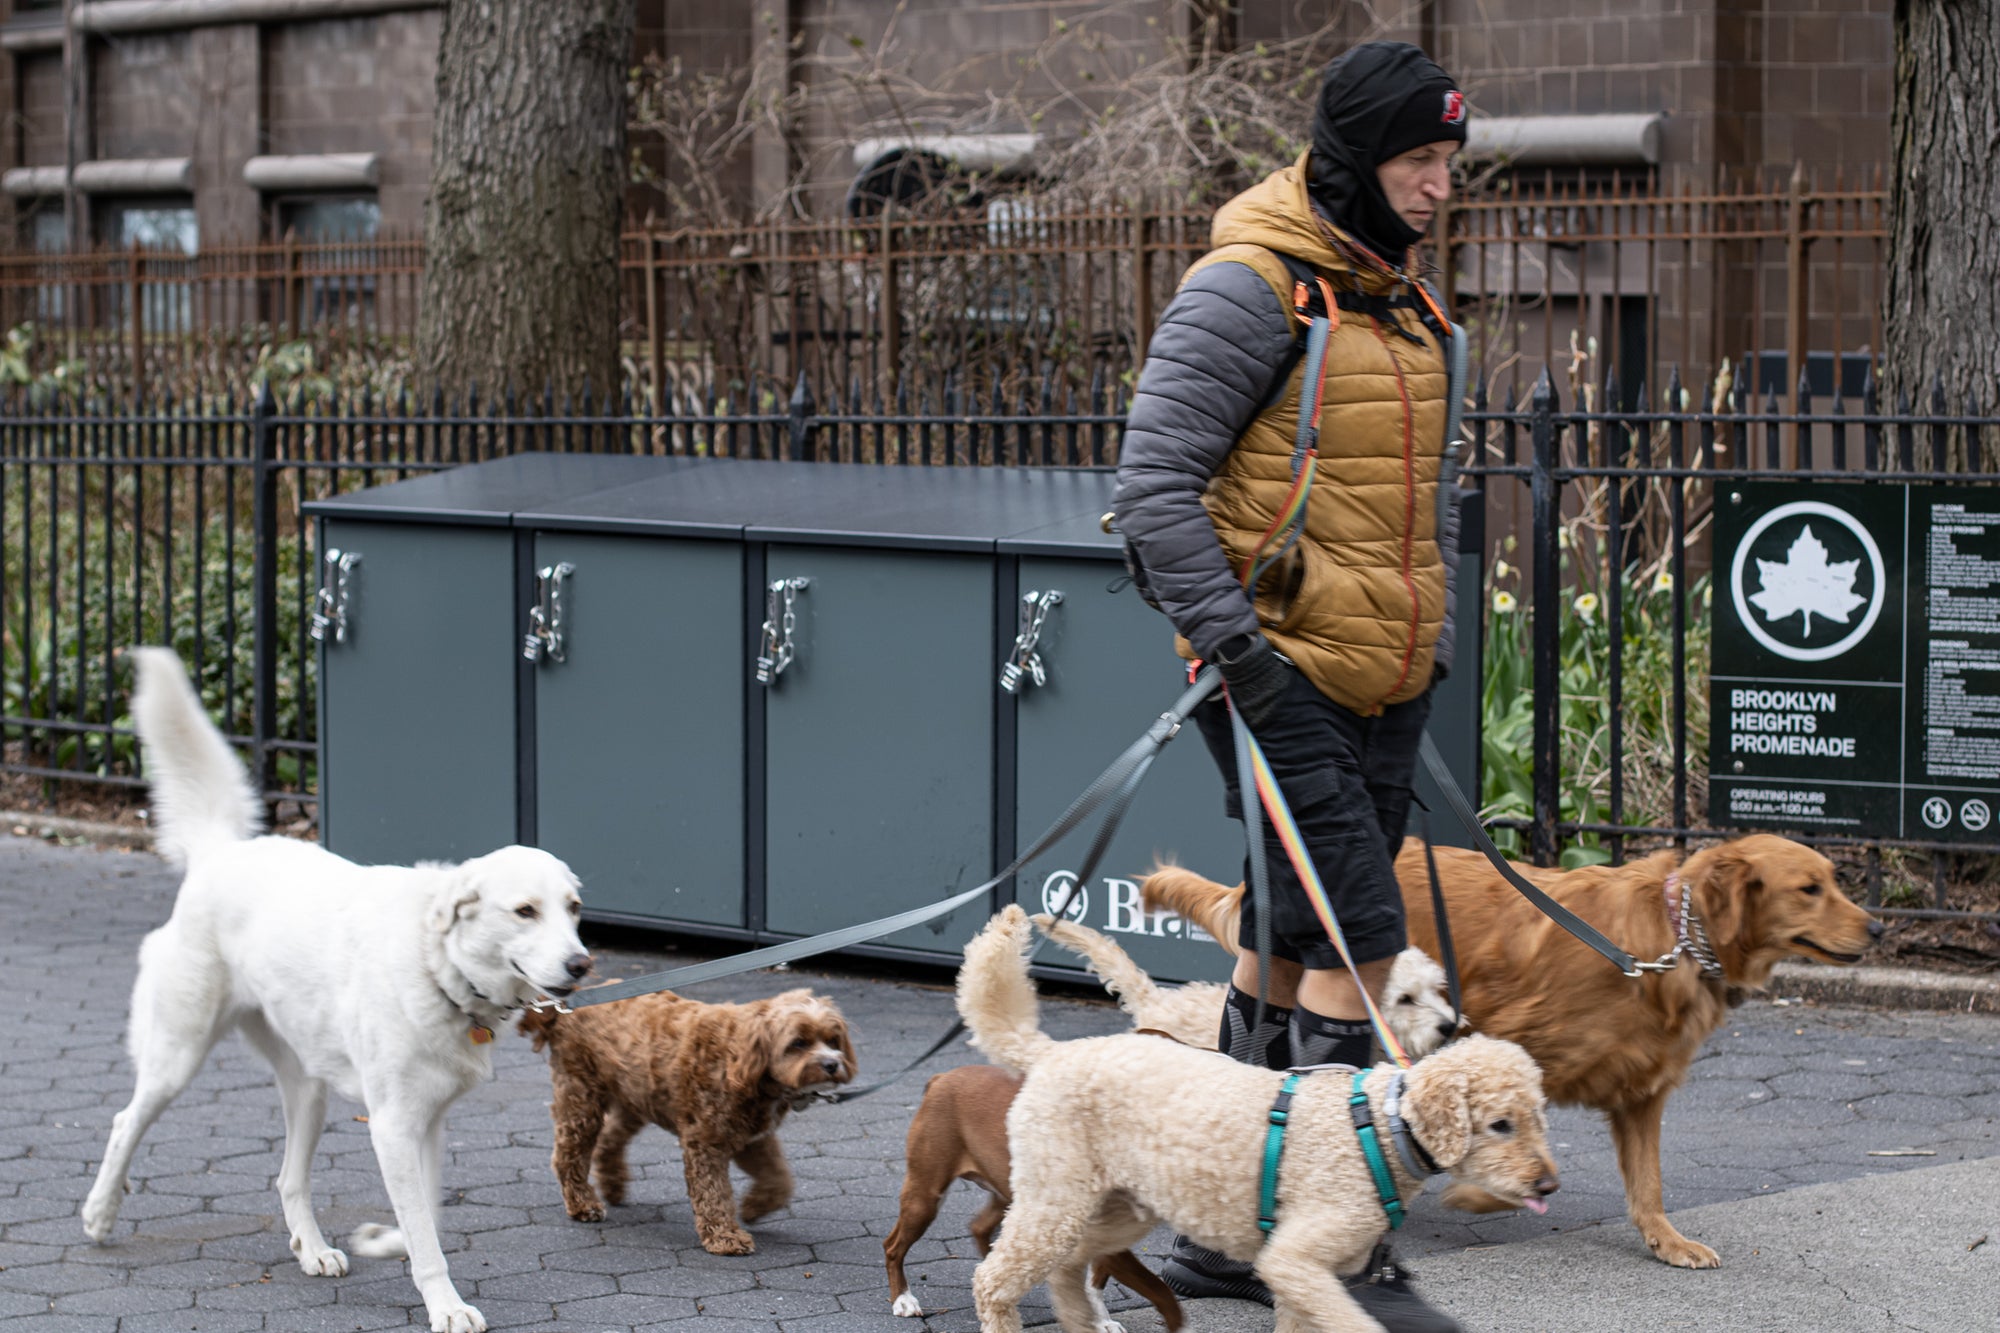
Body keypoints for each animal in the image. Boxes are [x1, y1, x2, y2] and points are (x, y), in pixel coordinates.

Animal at [88, 648, 584, 1328]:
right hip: (178, 1056)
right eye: (526, 912)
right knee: (123, 1121)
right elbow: (427, 1235)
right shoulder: (393, 1125)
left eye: (574, 909)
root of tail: (222, 853)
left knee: (288, 1178)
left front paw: (387, 1241)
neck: (435, 967)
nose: (582, 964)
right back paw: (100, 1212)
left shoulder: (425, 1122)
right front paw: (445, 1305)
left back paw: (313, 1248)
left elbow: (426, 1211)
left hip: (309, 1090)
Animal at [516, 980, 852, 1248]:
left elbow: (779, 1178)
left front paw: (755, 1207)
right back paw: (582, 1203)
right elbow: (713, 1192)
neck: (742, 1058)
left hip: (634, 1097)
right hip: (582, 1097)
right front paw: (725, 1237)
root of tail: (564, 1008)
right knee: (568, 1154)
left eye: (832, 1040)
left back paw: (613, 1185)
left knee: (609, 1140)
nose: (832, 1064)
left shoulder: (754, 1137)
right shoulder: (706, 1142)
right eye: (798, 1042)